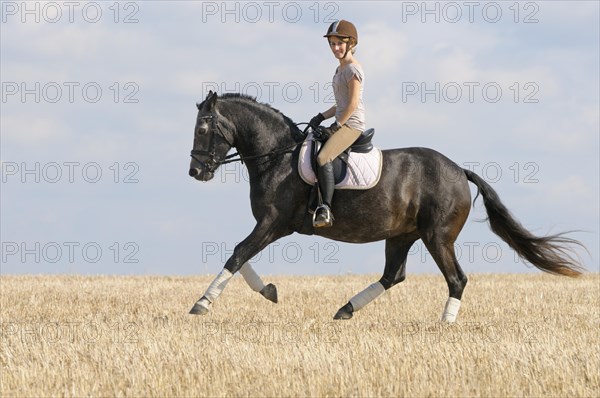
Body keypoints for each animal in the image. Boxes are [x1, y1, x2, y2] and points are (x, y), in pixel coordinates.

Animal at [186, 91, 580, 322]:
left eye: (203, 129)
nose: (195, 172)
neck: (278, 157)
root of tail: (459, 170)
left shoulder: (273, 223)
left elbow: (237, 254)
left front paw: (202, 303)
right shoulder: (270, 226)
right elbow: (240, 256)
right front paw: (269, 291)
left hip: (438, 237)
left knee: (456, 279)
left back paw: (445, 323)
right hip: (402, 235)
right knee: (393, 275)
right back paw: (345, 310)